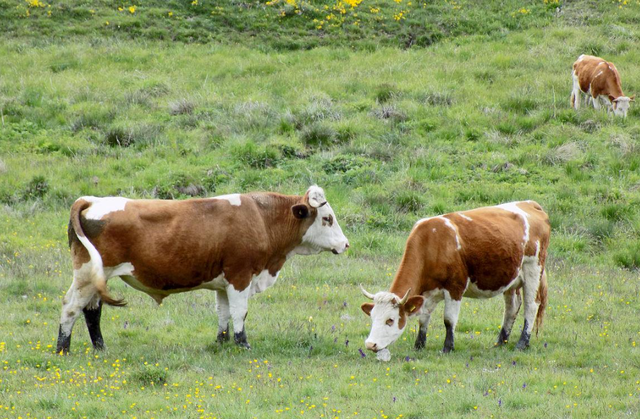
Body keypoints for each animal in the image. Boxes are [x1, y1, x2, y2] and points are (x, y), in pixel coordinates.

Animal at [57, 185, 350, 352]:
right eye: (327, 218)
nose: (345, 244)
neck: (261, 218)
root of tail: (91, 200)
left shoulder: (223, 283)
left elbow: (223, 314)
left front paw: (221, 342)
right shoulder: (240, 276)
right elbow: (240, 313)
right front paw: (243, 345)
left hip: (97, 277)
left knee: (92, 311)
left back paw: (100, 348)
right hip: (87, 275)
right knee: (71, 306)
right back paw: (63, 348)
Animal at [360, 201, 552, 360]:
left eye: (390, 320)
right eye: (372, 317)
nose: (370, 344)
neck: (431, 243)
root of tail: (531, 204)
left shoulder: (455, 287)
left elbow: (449, 320)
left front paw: (447, 347)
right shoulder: (428, 292)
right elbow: (424, 318)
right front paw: (419, 345)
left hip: (533, 269)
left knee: (530, 306)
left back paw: (522, 343)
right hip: (511, 278)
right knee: (512, 307)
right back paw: (500, 342)